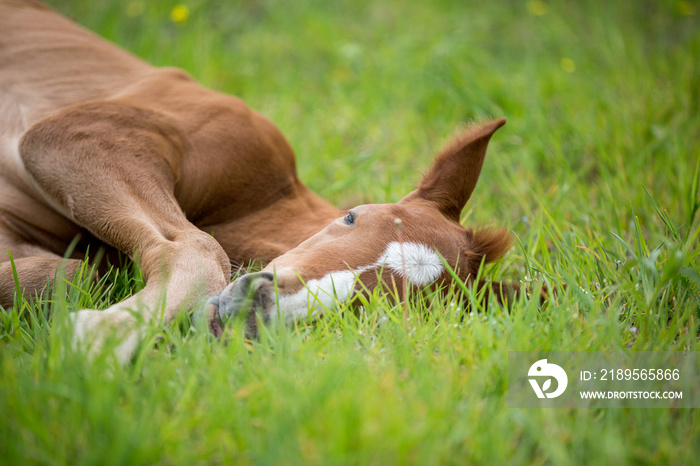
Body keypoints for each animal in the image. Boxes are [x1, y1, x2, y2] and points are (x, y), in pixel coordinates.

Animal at [0, 0, 516, 362]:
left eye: (375, 312)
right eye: (351, 217)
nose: (257, 303)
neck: (259, 201)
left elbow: (73, 270)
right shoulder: (80, 133)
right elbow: (196, 247)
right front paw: (103, 338)